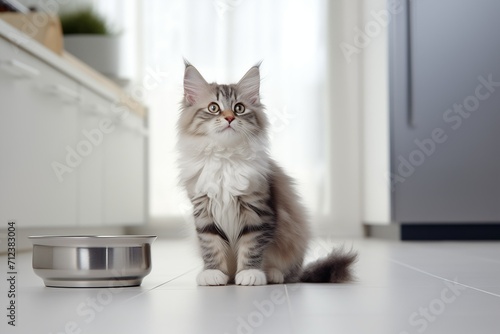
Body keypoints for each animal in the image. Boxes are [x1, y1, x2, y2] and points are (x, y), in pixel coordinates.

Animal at [176, 61, 356, 286]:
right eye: (213, 108)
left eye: (239, 108)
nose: (229, 118)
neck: (226, 157)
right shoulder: (204, 211)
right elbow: (210, 246)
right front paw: (213, 273)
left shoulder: (258, 211)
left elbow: (252, 246)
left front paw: (250, 273)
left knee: (289, 273)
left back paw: (271, 274)